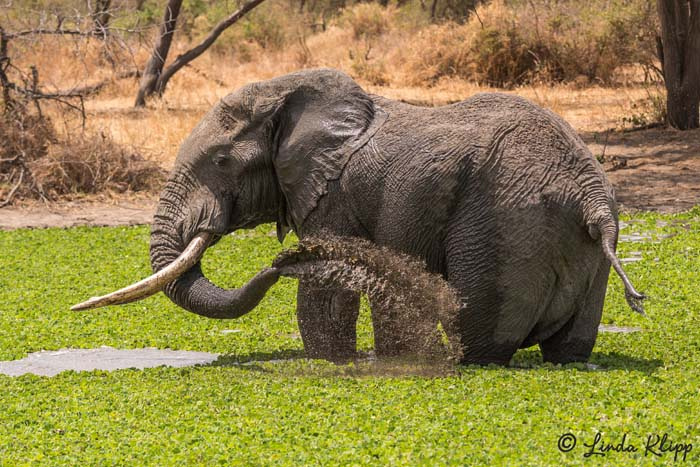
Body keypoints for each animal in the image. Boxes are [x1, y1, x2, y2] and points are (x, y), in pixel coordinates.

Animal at [71, 67, 644, 368]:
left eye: (222, 161)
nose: (283, 259)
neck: (291, 94)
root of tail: (592, 200)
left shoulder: (333, 194)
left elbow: (328, 288)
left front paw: (339, 362)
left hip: (505, 225)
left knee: (477, 335)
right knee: (569, 347)